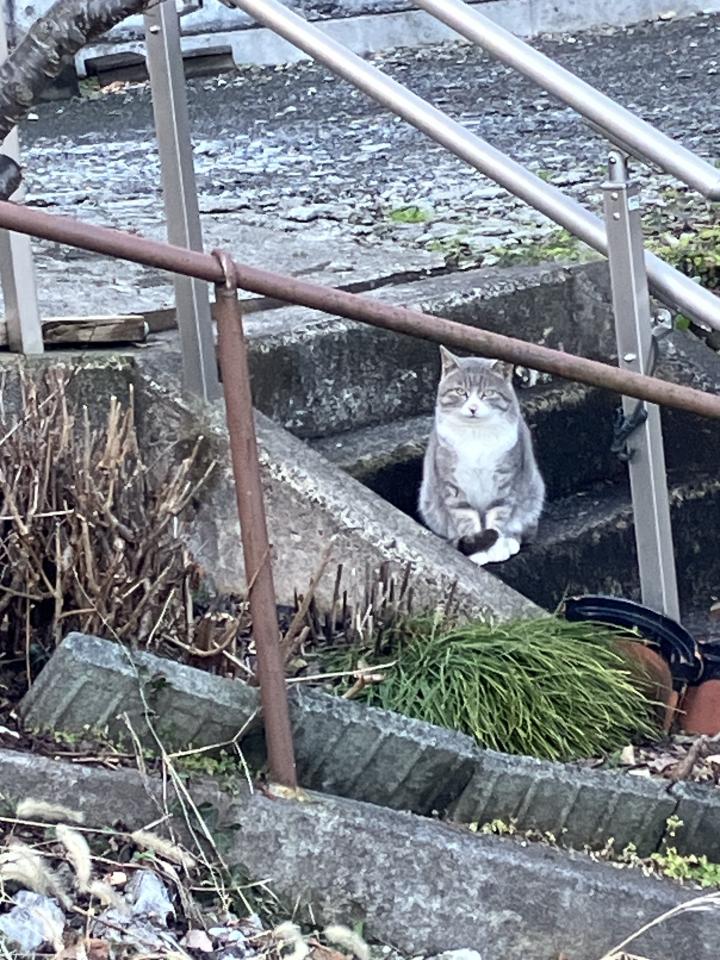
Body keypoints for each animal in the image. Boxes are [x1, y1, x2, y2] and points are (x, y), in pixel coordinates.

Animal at [419, 347, 545, 565]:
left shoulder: (504, 480)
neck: (475, 435)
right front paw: (478, 552)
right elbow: (466, 518)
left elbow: (498, 514)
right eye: (461, 392)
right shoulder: (453, 484)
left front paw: (497, 547)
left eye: (488, 394)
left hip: (533, 490)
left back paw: (511, 540)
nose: (473, 408)